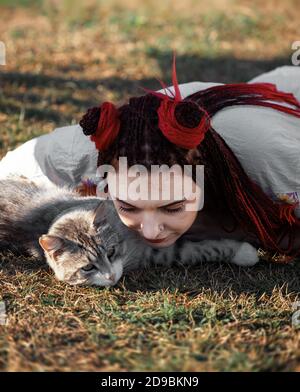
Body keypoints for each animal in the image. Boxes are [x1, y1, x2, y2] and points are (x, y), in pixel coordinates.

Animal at [0, 176, 258, 286]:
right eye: (87, 268)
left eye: (111, 252)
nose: (110, 277)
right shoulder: (159, 252)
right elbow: (196, 250)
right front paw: (244, 253)